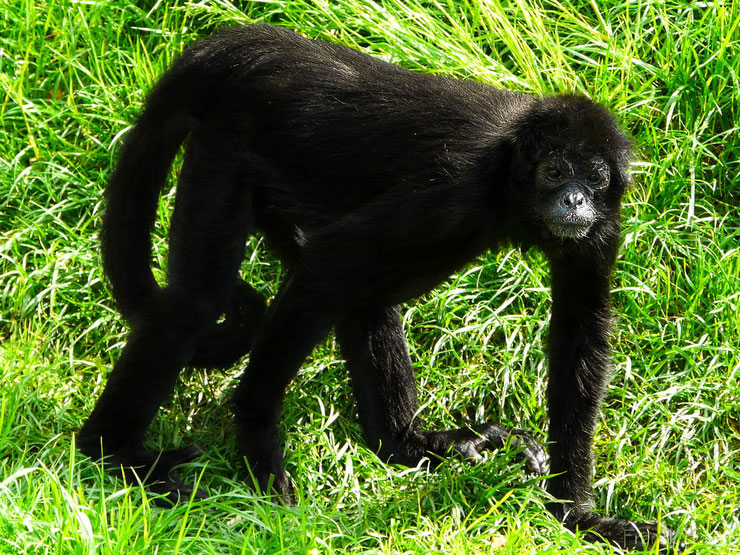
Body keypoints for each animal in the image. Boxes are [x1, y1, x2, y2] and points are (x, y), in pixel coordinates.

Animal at [79, 23, 676, 548]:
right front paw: (255, 443)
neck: (509, 175)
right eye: (555, 171)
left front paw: (579, 516)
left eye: (594, 178)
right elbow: (329, 262)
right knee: (200, 304)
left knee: (364, 298)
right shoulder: (455, 191)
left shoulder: (601, 227)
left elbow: (579, 333)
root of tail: (252, 48)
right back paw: (113, 453)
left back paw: (407, 444)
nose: (574, 200)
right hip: (225, 155)